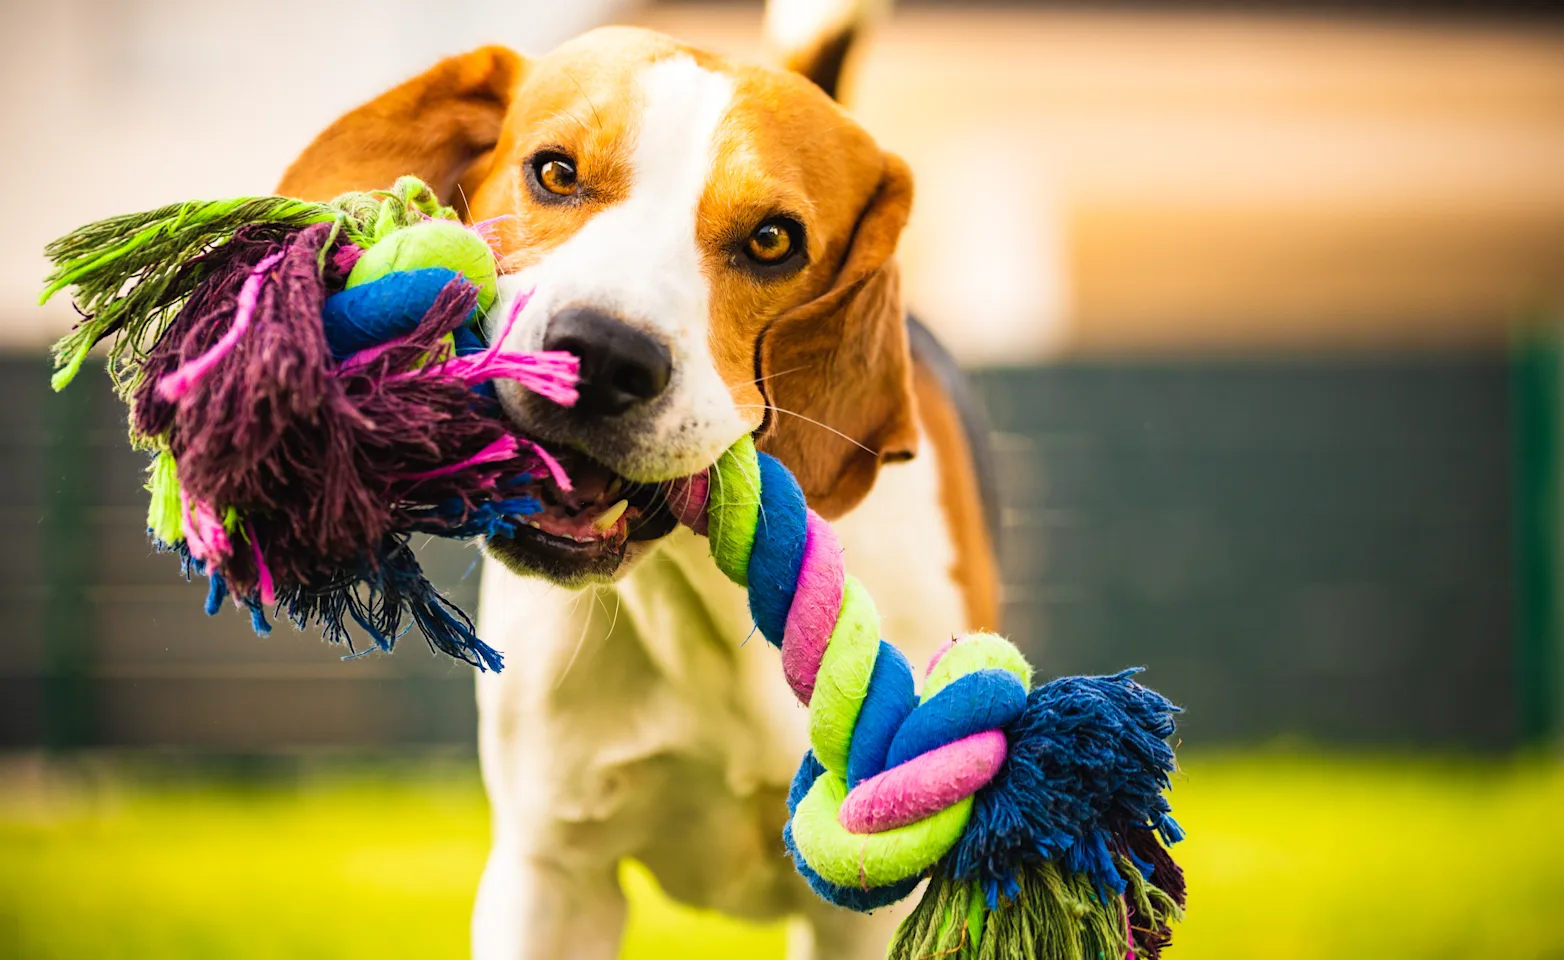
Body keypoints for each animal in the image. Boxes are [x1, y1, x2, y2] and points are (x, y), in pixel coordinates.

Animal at [278, 15, 1000, 960]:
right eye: (555, 171)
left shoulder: (867, 910)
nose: (602, 352)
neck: (708, 603)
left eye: (774, 240)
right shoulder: (550, 878)